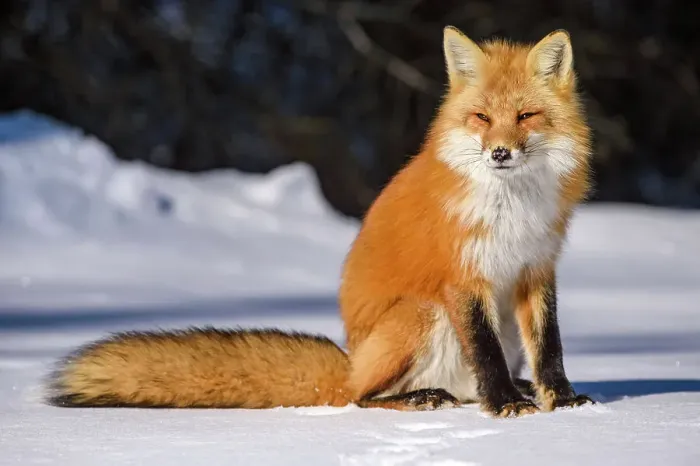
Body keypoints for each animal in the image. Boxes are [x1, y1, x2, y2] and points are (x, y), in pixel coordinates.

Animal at [47, 26, 594, 418]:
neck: (512, 211)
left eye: (525, 116)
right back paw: (421, 398)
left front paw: (561, 400)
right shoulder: (463, 276)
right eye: (481, 118)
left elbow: (550, 346)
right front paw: (504, 405)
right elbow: (485, 353)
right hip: (421, 314)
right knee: (361, 396)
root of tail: (347, 361)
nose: (499, 153)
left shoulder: (536, 268)